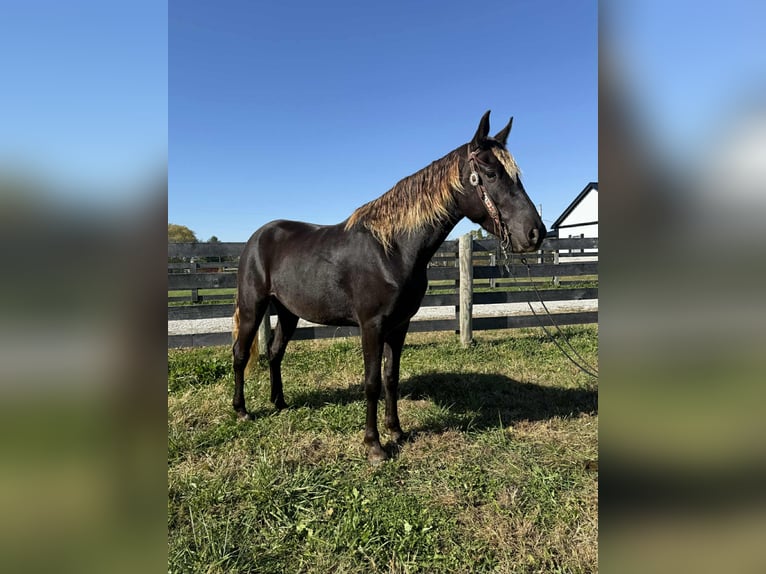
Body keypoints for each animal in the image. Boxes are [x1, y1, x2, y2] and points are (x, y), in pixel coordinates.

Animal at [232, 111, 546, 462]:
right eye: (491, 173)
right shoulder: (372, 326)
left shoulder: (399, 325)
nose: (535, 233)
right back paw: (242, 411)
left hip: (288, 312)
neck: (392, 249)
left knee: (275, 353)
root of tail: (258, 237)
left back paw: (280, 402)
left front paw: (396, 430)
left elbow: (390, 378)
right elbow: (371, 382)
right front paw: (374, 446)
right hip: (253, 306)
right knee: (241, 354)